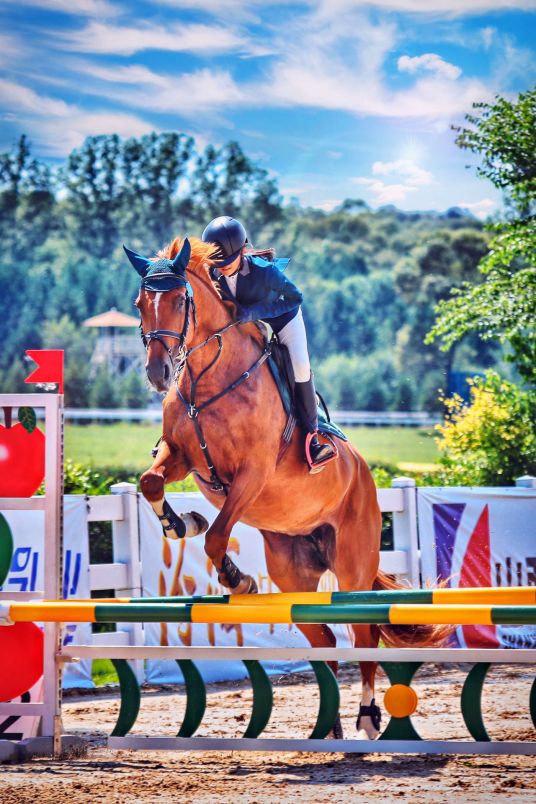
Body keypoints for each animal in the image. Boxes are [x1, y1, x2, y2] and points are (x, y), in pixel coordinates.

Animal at [126, 236, 448, 740]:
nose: (159, 373)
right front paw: (182, 524)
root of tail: (366, 476)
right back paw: (331, 726)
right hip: (293, 571)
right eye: (140, 304)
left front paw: (236, 578)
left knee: (365, 634)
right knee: (326, 637)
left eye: (180, 300)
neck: (207, 378)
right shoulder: (180, 457)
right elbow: (151, 481)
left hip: (352, 564)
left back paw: (367, 715)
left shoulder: (252, 474)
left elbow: (217, 536)